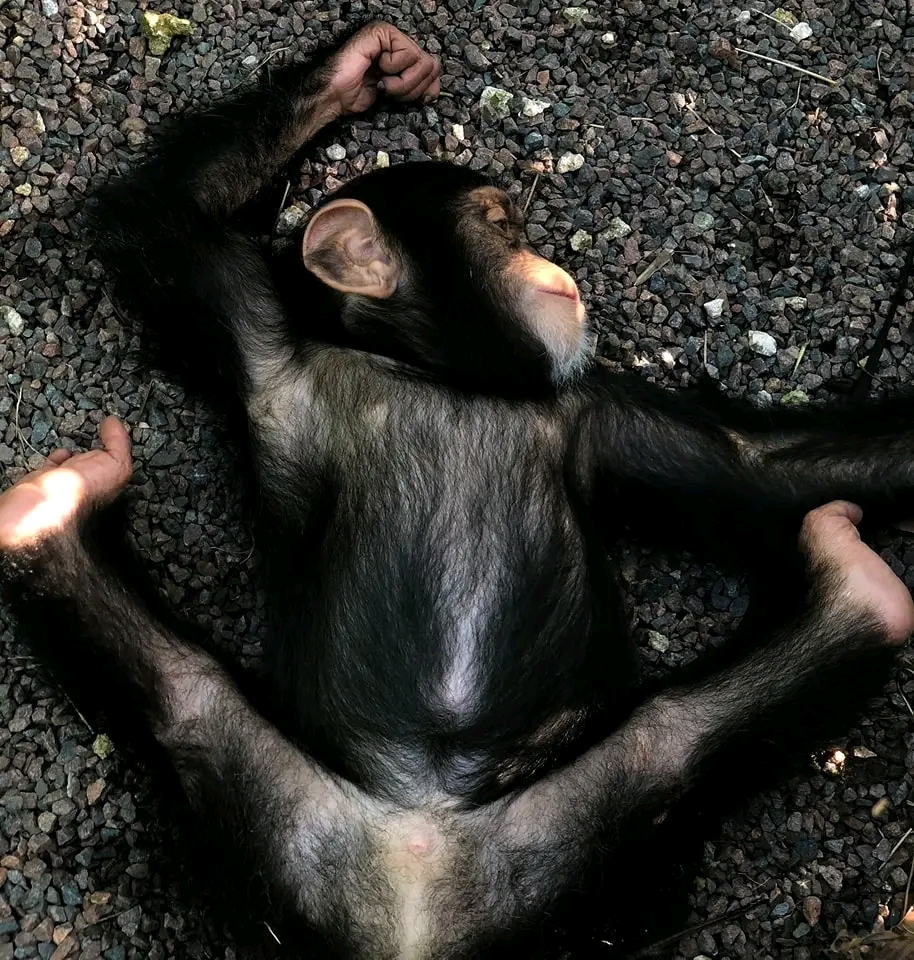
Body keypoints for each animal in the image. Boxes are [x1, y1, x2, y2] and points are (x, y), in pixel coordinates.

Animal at [2, 21, 913, 960]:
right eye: (501, 224)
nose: (548, 258)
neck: (437, 373)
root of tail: (417, 869)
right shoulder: (254, 341)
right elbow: (160, 229)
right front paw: (361, 67)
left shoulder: (599, 414)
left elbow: (761, 468)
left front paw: (369, 67)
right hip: (278, 833)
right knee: (186, 697)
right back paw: (53, 517)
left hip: (571, 855)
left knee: (676, 745)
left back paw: (857, 593)